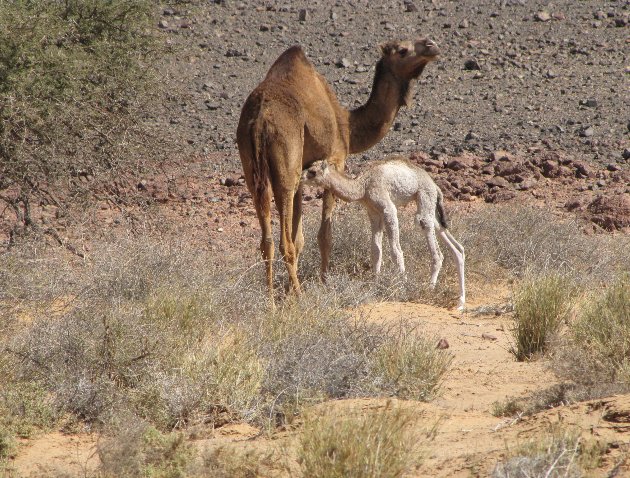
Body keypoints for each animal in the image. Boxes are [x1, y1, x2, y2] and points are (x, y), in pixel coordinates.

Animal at [236, 38, 440, 298]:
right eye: (403, 50)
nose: (432, 45)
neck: (348, 125)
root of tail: (260, 118)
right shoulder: (335, 160)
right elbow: (325, 235)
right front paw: (324, 282)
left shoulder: (303, 172)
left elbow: (300, 237)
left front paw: (292, 288)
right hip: (285, 165)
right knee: (284, 241)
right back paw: (299, 297)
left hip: (253, 168)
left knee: (267, 240)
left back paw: (271, 299)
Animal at [304, 157, 466, 310]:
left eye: (312, 171)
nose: (301, 178)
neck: (363, 186)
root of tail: (436, 186)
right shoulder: (373, 212)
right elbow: (376, 251)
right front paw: (375, 284)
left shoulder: (387, 208)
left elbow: (396, 251)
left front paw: (403, 287)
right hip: (432, 209)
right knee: (454, 244)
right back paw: (460, 302)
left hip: (424, 197)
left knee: (432, 242)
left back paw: (430, 287)